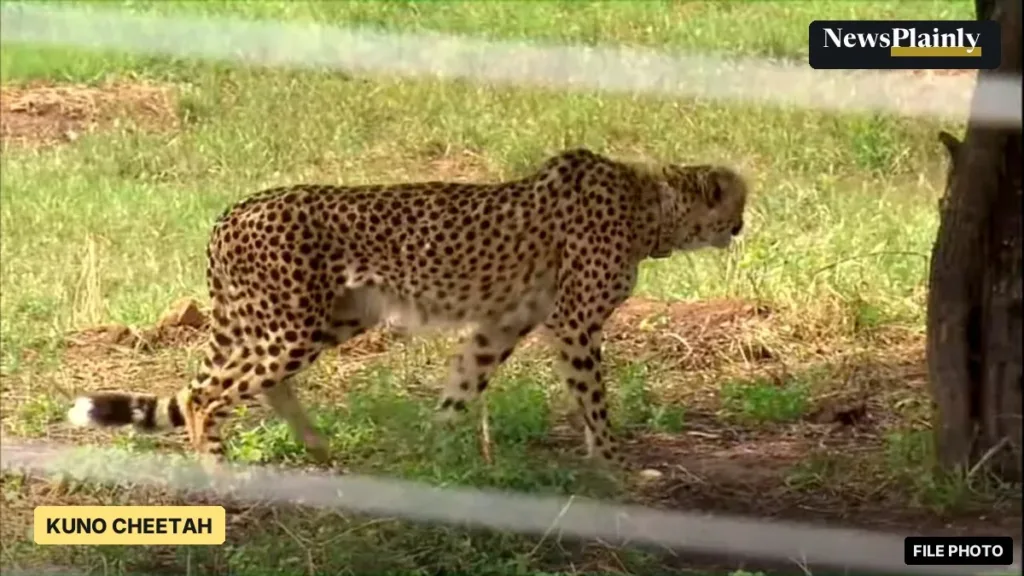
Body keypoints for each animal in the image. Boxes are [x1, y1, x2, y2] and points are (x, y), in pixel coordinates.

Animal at [67, 147, 749, 472]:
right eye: (734, 201)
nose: (743, 224)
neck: (650, 205)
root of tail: (232, 211)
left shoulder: (500, 324)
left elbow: (461, 389)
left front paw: (434, 454)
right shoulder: (574, 323)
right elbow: (594, 403)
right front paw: (613, 466)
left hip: (332, 317)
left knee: (256, 385)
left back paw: (319, 449)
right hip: (289, 323)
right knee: (206, 396)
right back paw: (219, 471)